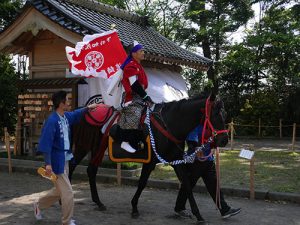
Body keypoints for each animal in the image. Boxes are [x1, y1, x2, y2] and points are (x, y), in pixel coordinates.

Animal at [69, 93, 227, 223]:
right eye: (216, 115)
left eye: (224, 115)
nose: (224, 140)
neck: (168, 124)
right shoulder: (150, 162)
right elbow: (142, 183)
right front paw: (134, 208)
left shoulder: (176, 161)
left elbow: (187, 184)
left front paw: (198, 215)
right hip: (85, 145)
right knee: (72, 165)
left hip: (97, 147)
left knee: (90, 169)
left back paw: (98, 202)